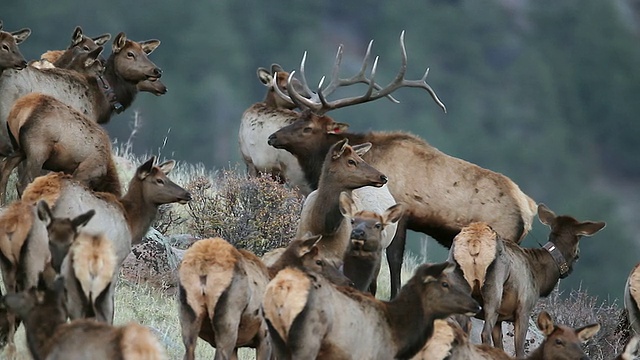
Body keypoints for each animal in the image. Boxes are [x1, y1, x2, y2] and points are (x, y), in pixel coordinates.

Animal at [178, 233, 352, 360]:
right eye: (319, 261)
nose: (348, 282)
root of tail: (204, 266)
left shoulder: (240, 345)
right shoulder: (266, 336)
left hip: (188, 316)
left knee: (189, 351)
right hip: (228, 319)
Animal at [444, 205, 604, 358]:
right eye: (577, 249)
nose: (577, 257)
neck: (540, 277)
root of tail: (474, 242)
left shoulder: (500, 319)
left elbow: (500, 345)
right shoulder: (524, 309)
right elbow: (519, 349)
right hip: (493, 290)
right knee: (484, 333)